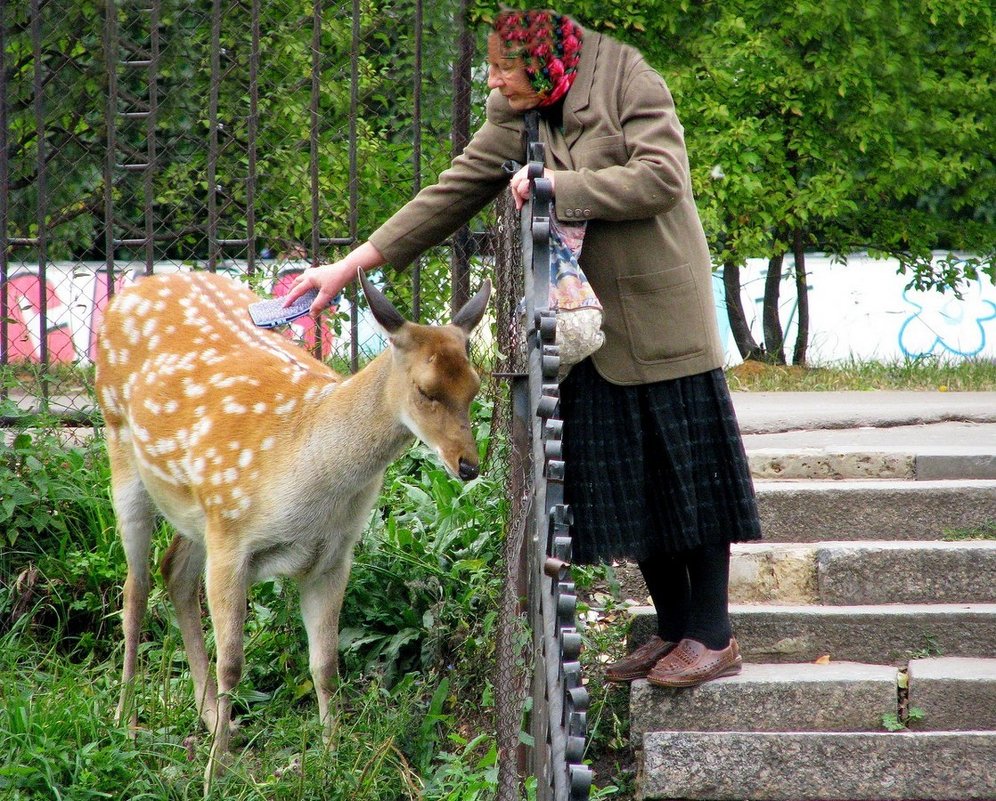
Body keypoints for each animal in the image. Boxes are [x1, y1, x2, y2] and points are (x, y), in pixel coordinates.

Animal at [95, 268, 492, 780]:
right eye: (426, 390)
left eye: (475, 386)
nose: (469, 466)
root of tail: (137, 286)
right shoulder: (232, 537)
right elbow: (233, 664)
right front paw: (214, 773)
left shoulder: (332, 556)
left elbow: (325, 664)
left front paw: (331, 756)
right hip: (122, 449)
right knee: (135, 589)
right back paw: (125, 719)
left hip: (198, 512)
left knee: (174, 573)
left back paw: (210, 718)